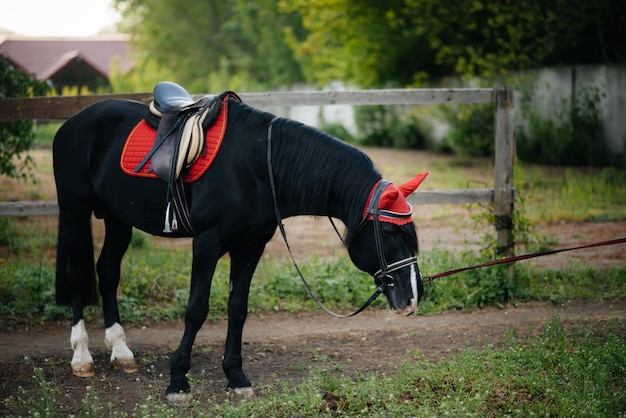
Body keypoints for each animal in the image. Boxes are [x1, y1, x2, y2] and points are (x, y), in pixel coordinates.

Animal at [53, 89, 426, 404]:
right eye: (388, 233)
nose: (412, 298)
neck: (259, 166)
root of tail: (72, 123)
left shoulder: (250, 246)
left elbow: (238, 308)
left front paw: (236, 377)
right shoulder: (207, 242)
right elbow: (196, 309)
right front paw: (178, 382)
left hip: (118, 219)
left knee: (107, 272)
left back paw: (121, 351)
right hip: (74, 212)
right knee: (75, 276)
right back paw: (82, 356)